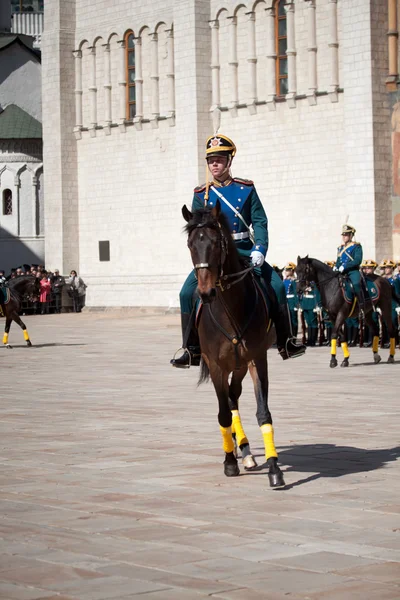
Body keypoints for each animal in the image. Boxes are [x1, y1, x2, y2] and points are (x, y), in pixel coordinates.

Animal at [183, 202, 286, 488]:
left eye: (216, 243)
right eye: (190, 244)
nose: (206, 293)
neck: (230, 308)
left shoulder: (257, 358)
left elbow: (263, 412)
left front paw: (274, 468)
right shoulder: (216, 365)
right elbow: (222, 415)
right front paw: (229, 462)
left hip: (240, 365)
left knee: (233, 396)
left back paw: (246, 451)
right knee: (228, 402)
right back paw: (239, 450)